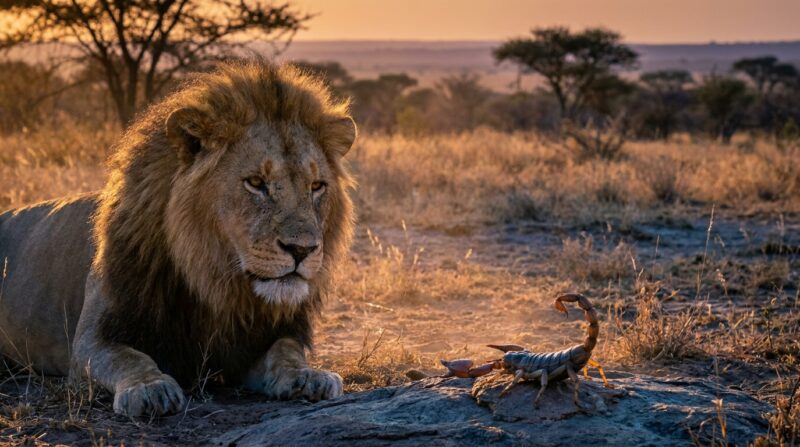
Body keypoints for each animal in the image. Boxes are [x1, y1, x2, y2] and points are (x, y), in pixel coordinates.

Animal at [0, 60, 357, 417]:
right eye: (256, 182)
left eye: (316, 186)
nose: (302, 249)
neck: (213, 281)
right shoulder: (93, 340)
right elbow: (128, 358)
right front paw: (150, 389)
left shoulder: (253, 342)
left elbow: (286, 352)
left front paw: (308, 376)